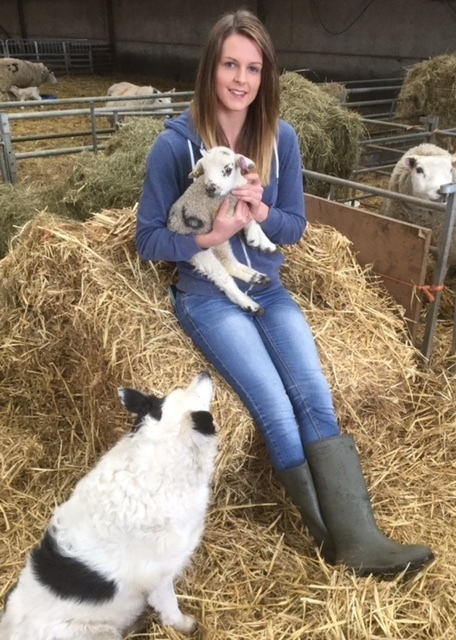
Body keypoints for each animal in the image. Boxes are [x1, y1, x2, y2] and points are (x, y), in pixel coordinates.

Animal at [167, 145, 276, 316]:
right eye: (204, 169)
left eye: (228, 169)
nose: (210, 188)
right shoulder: (226, 215)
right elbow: (249, 216)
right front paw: (254, 238)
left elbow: (252, 212)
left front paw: (265, 243)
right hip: (201, 254)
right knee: (223, 278)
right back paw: (250, 304)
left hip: (221, 244)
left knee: (230, 263)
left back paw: (257, 278)